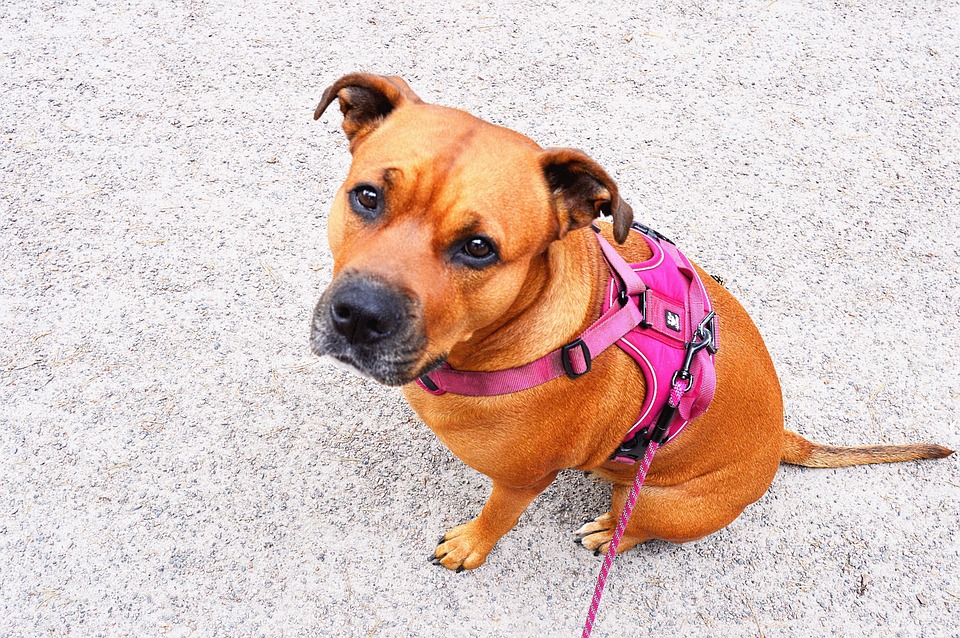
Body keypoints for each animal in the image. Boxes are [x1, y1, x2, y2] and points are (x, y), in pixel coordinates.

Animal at [310, 72, 952, 572]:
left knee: (632, 522)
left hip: (660, 502)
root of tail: (779, 442)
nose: (359, 315)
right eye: (367, 197)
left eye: (478, 248)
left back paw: (609, 531)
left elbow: (497, 516)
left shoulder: (522, 481)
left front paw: (471, 545)